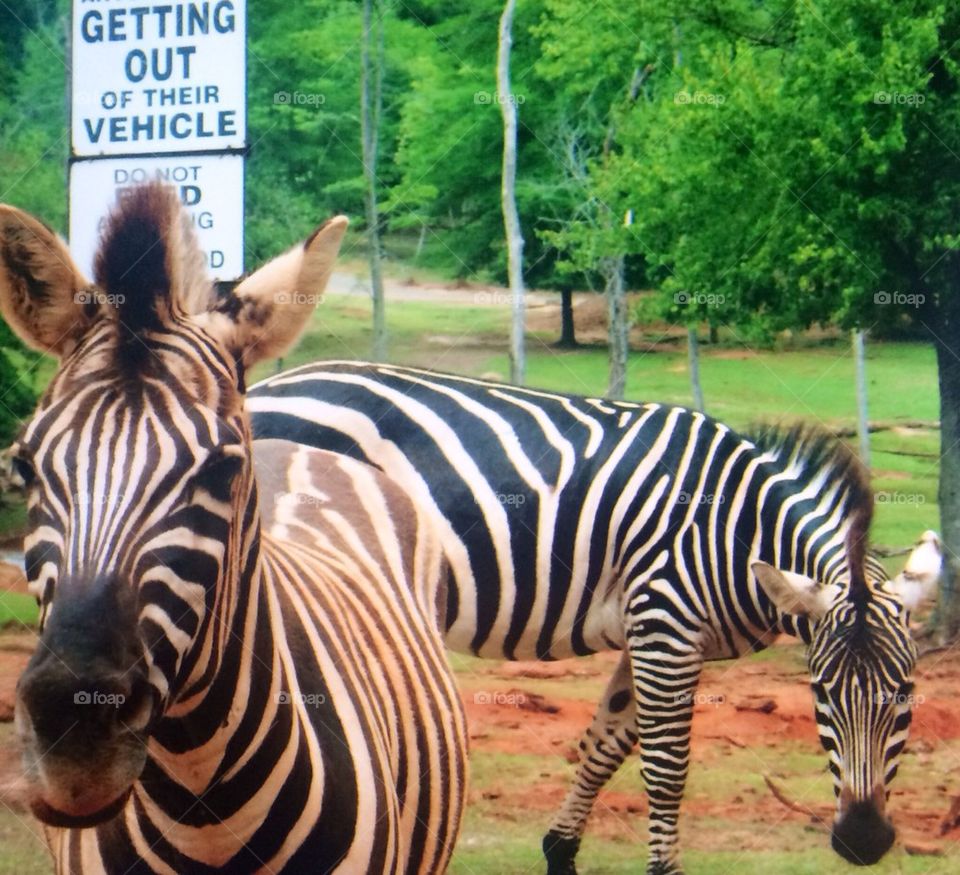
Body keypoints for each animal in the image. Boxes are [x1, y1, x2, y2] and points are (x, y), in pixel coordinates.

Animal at [246, 360, 941, 875]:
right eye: (821, 693)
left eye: (906, 694)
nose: (863, 843)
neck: (735, 531)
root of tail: (262, 387)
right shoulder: (666, 622)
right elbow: (665, 767)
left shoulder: (655, 634)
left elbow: (606, 743)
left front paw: (560, 851)